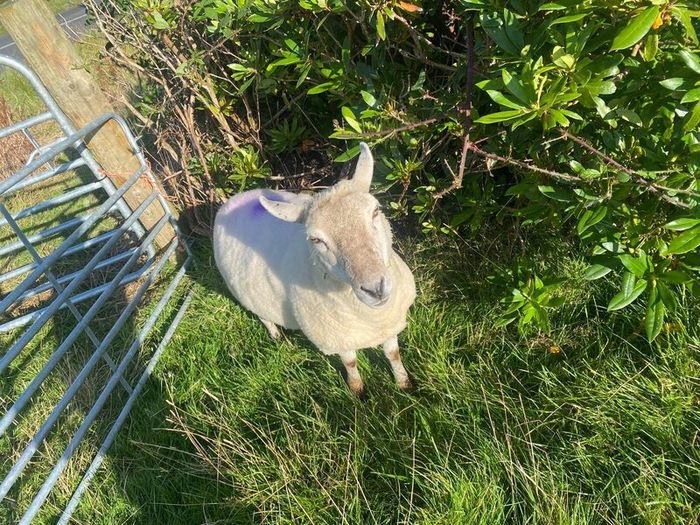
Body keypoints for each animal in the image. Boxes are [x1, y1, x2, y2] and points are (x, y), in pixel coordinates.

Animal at [213, 143, 416, 395]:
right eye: (316, 240)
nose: (375, 288)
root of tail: (233, 200)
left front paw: (404, 384)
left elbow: (393, 354)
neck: (373, 318)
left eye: (376, 211)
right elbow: (351, 363)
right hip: (247, 297)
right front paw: (358, 392)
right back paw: (276, 336)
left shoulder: (390, 323)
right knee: (264, 317)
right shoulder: (335, 337)